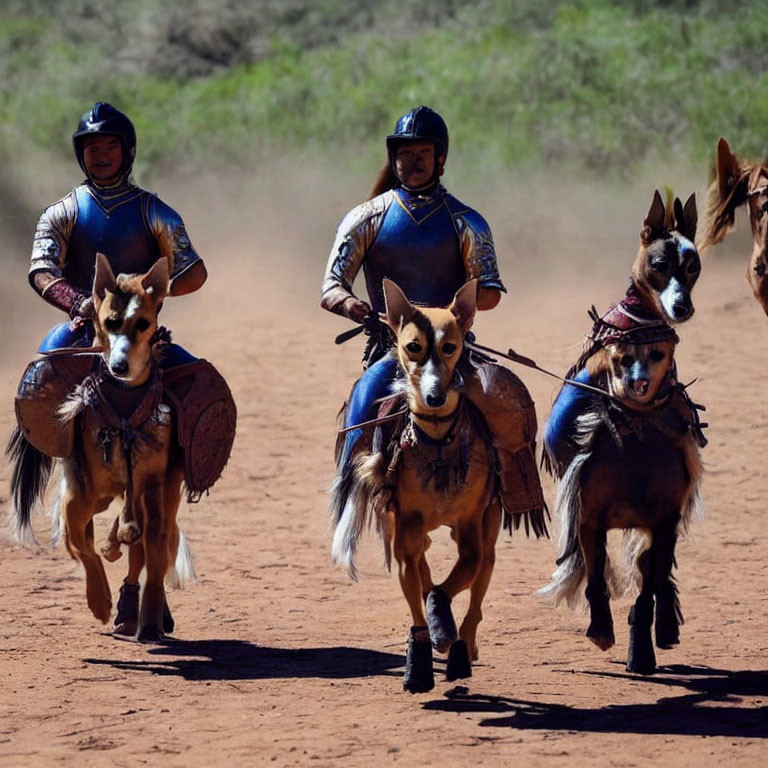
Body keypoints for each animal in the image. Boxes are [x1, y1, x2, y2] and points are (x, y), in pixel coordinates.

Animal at [330, 280, 520, 692]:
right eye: (413, 346)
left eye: (450, 346)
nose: (434, 396)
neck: (437, 444)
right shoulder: (405, 525)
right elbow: (416, 578)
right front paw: (420, 658)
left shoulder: (471, 526)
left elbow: (454, 582)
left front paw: (450, 635)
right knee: (423, 564)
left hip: (490, 524)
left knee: (480, 579)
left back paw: (466, 643)